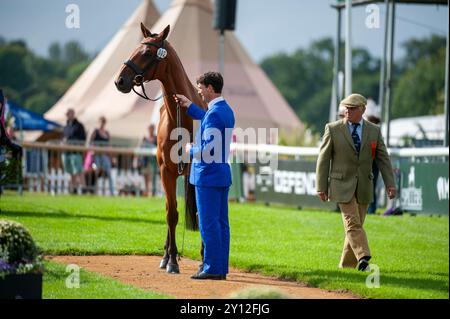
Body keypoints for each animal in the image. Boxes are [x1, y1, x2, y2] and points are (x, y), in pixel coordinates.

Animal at [113, 23, 205, 274]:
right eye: (135, 48)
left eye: (146, 53)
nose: (120, 81)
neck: (181, 118)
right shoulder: (166, 172)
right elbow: (171, 214)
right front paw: (172, 260)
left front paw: (203, 257)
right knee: (169, 210)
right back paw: (165, 256)